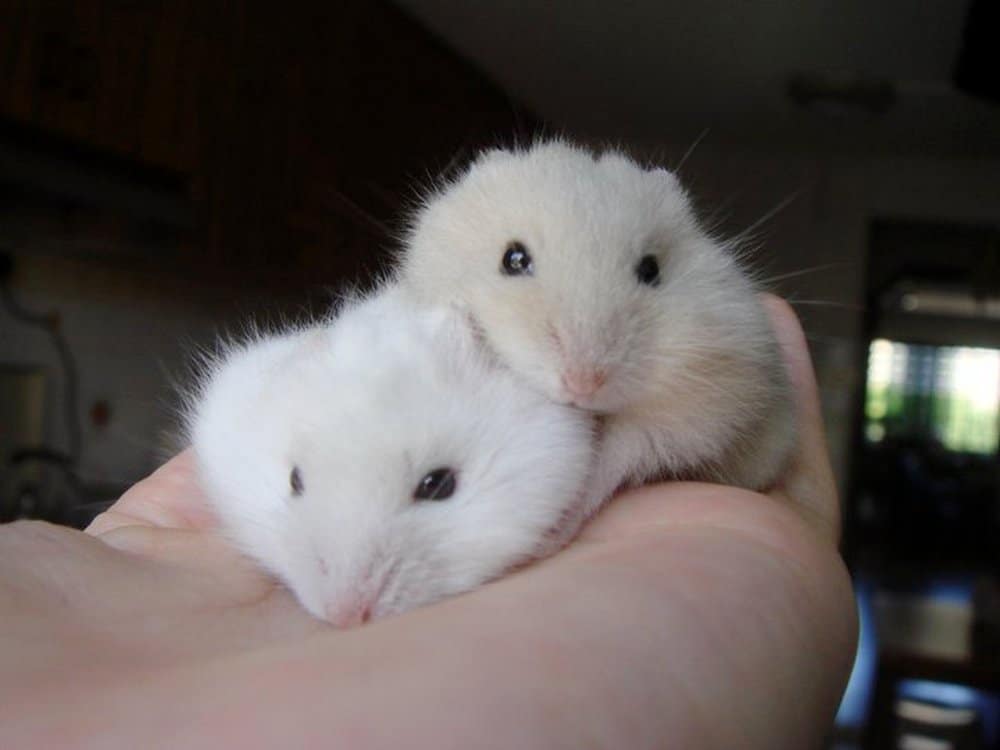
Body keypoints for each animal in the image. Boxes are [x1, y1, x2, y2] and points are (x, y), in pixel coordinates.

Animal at [398, 141, 796, 528]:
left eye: (651, 270)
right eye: (513, 259)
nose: (582, 384)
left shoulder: (713, 397)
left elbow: (624, 451)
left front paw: (563, 523)